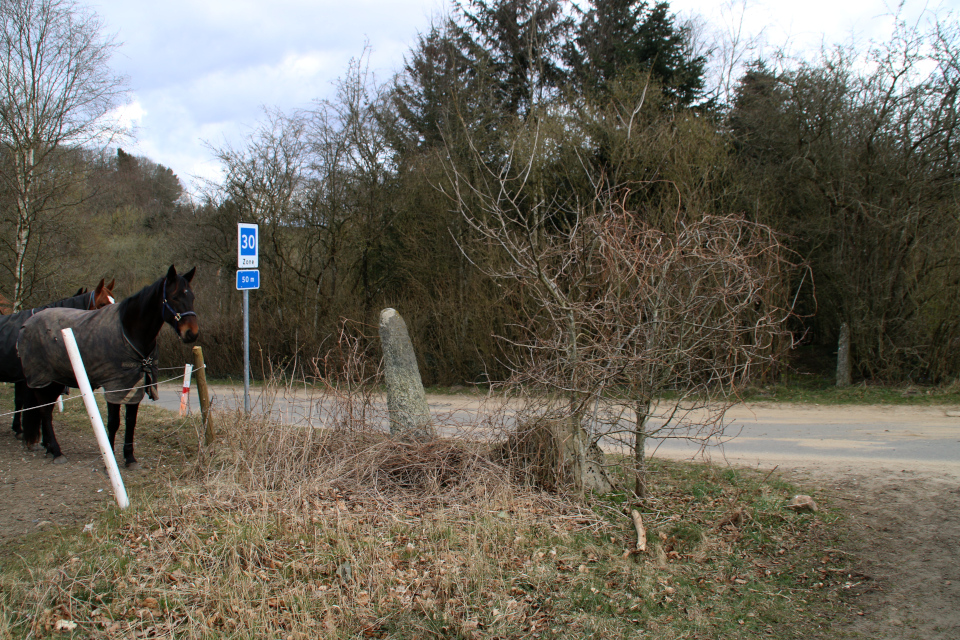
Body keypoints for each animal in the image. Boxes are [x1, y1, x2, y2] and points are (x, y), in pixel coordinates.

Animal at [18, 264, 199, 464]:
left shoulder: (135, 385)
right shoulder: (115, 386)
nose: (191, 333)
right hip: (43, 380)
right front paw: (110, 456)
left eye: (191, 297)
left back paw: (50, 448)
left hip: (55, 381)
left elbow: (131, 420)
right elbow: (114, 422)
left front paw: (130, 457)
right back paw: (56, 452)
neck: (129, 331)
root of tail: (27, 323)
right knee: (44, 412)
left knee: (46, 412)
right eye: (175, 297)